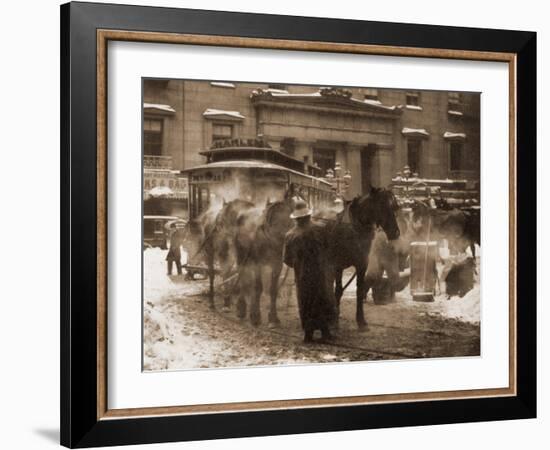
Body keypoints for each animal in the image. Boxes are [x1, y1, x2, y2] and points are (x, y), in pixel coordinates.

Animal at [328, 187, 402, 330]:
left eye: (394, 207)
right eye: (382, 205)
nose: (395, 233)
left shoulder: (361, 265)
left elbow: (359, 291)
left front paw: (361, 321)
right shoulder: (338, 266)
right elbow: (338, 290)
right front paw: (334, 321)